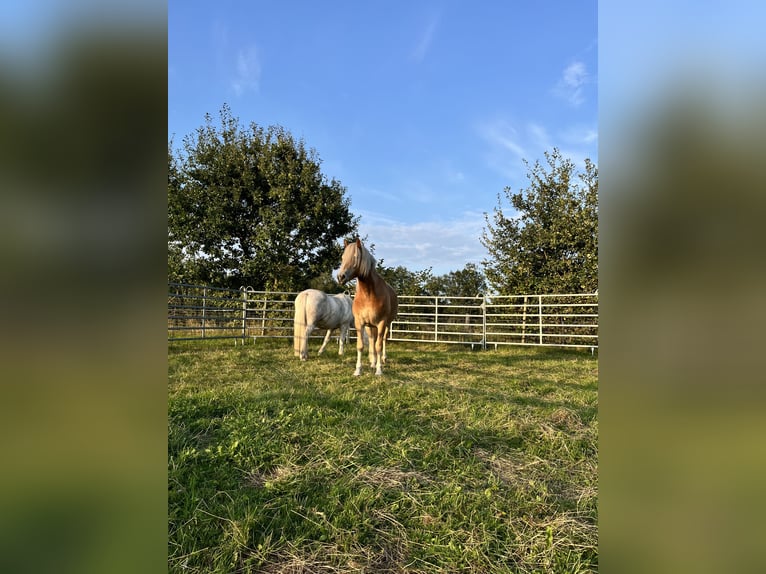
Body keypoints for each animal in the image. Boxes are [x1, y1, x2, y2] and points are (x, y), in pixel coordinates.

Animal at [340, 240, 402, 378]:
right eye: (342, 258)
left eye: (355, 257)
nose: (340, 277)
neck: (368, 294)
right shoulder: (360, 323)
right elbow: (361, 346)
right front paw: (358, 370)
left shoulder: (382, 323)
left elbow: (379, 345)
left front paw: (379, 370)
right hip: (370, 326)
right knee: (372, 340)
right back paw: (373, 362)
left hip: (385, 325)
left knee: (382, 340)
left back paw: (383, 359)